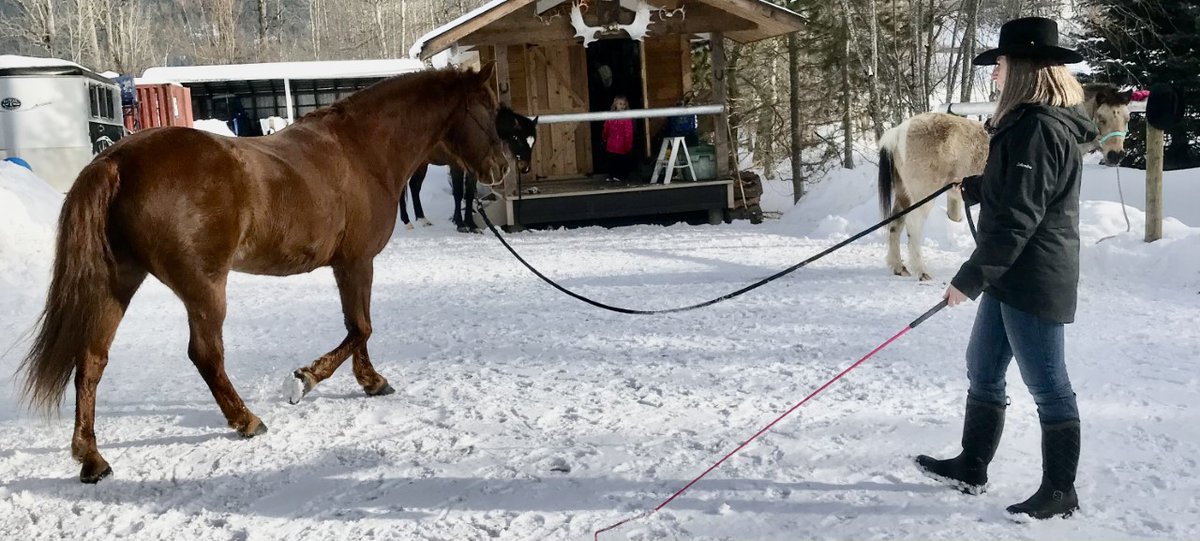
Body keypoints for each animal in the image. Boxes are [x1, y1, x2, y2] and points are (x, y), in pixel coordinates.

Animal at [17, 64, 513, 483]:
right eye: (488, 109)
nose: (502, 167)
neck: (361, 149)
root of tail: (116, 161)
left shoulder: (347, 265)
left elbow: (358, 329)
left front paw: (370, 380)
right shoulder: (356, 261)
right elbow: (361, 327)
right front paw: (307, 379)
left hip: (117, 282)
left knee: (91, 361)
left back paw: (91, 458)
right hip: (204, 288)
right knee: (205, 355)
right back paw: (245, 420)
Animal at [400, 105, 538, 232]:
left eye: (533, 141)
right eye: (517, 138)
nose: (525, 167)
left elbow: (470, 193)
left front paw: (471, 225)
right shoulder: (456, 166)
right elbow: (458, 192)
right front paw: (460, 224)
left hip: (422, 164)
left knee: (414, 186)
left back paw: (422, 219)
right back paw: (407, 222)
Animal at [877, 82, 1134, 281]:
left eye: (1127, 118)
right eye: (1101, 119)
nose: (1116, 156)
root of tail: (900, 130)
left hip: (905, 194)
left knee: (895, 224)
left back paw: (898, 266)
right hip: (922, 195)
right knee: (912, 226)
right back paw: (921, 270)